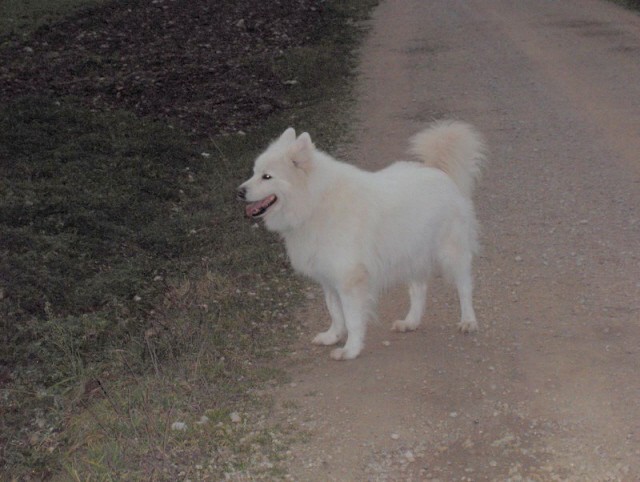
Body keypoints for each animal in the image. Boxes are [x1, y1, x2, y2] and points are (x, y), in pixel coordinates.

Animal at [238, 121, 482, 358]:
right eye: (254, 172)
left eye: (267, 176)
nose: (239, 191)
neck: (314, 203)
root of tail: (436, 169)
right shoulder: (329, 277)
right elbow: (335, 313)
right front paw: (333, 336)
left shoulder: (349, 279)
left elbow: (353, 320)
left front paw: (350, 350)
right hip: (411, 253)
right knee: (418, 289)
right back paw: (410, 322)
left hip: (452, 253)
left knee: (464, 287)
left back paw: (468, 321)